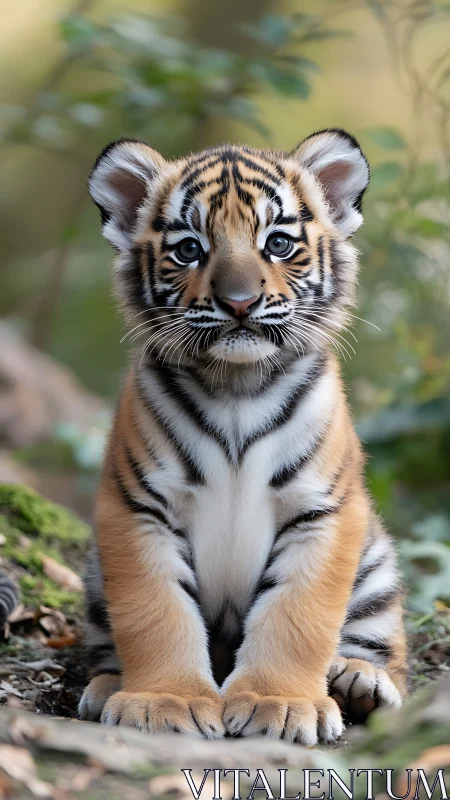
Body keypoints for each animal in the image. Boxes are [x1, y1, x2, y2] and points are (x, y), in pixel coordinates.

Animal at [78, 129, 407, 745]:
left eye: (278, 243)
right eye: (189, 250)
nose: (239, 303)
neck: (237, 385)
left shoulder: (322, 511)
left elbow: (297, 615)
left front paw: (279, 705)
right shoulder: (138, 508)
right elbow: (156, 611)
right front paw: (166, 702)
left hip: (375, 563)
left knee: (382, 644)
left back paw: (359, 681)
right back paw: (109, 687)